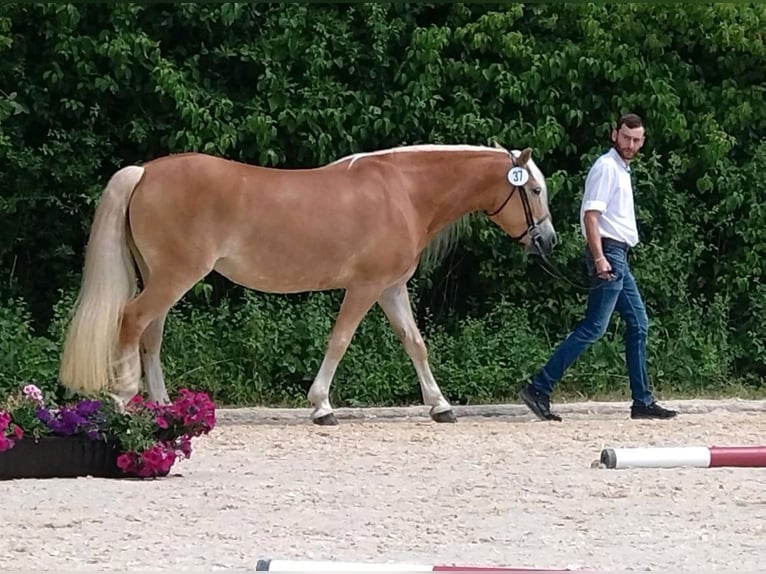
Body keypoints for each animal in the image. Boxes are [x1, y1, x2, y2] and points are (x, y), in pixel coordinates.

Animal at [55, 142, 560, 426]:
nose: (548, 240)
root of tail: (146, 172)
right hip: (173, 277)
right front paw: (321, 407)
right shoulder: (365, 287)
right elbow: (339, 340)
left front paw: (440, 406)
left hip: (162, 277)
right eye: (534, 190)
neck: (402, 192)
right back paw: (124, 401)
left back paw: (164, 409)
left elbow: (415, 344)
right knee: (132, 321)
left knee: (151, 334)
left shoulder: (391, 289)